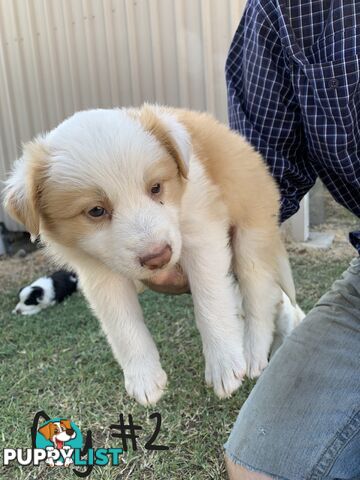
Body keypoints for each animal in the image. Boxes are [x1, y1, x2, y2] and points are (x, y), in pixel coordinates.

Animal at [3, 105, 298, 404]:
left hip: (251, 235)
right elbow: (122, 325)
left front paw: (224, 364)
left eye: (156, 188)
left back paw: (253, 352)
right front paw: (144, 378)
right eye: (96, 211)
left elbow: (211, 301)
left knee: (260, 297)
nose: (158, 257)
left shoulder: (203, 235)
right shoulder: (98, 271)